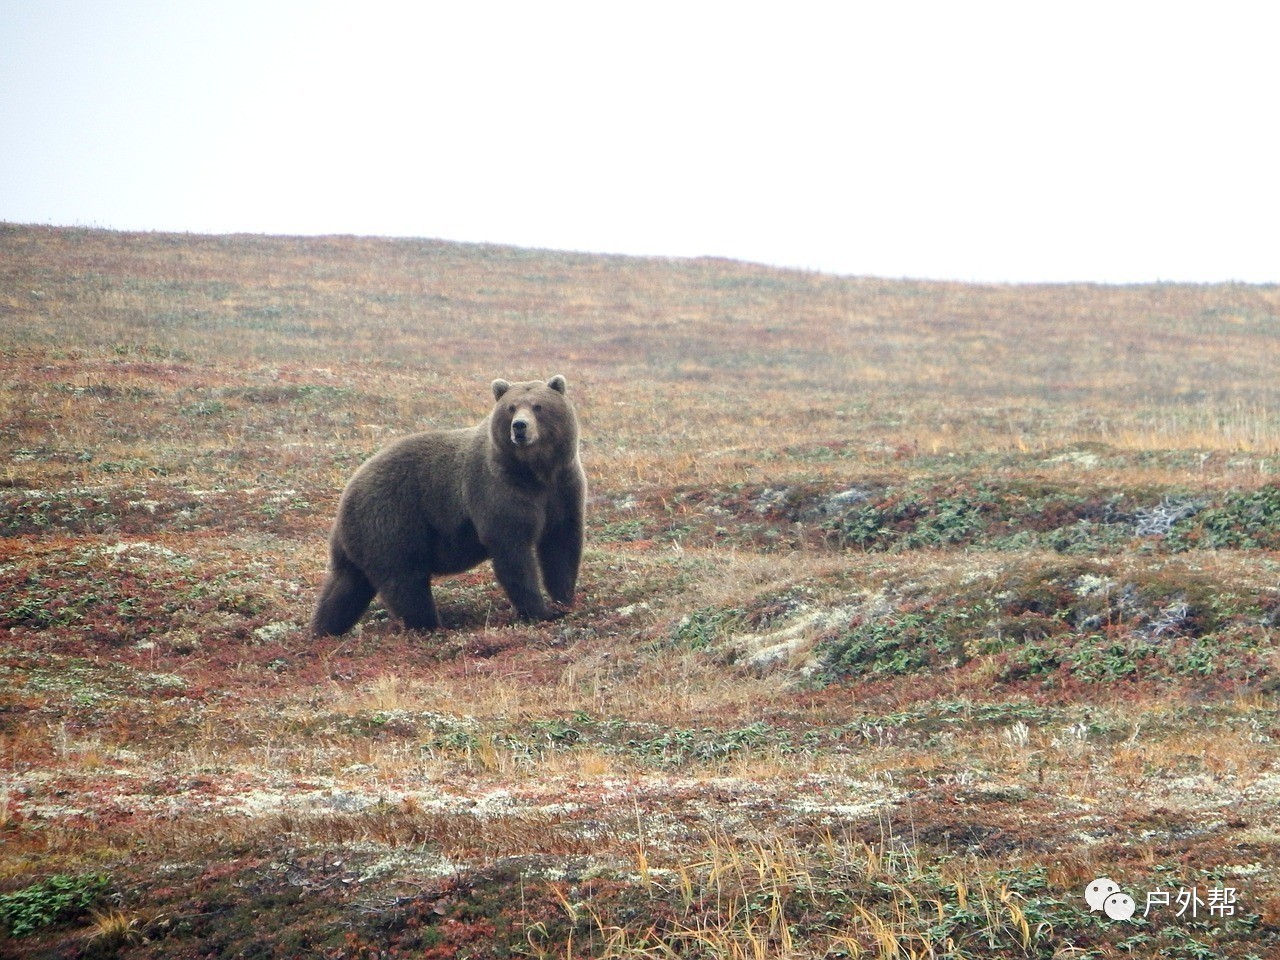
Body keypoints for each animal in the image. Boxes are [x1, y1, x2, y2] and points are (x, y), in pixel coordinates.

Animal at [312, 378, 586, 640]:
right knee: (406, 581)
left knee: (345, 587)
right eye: (511, 407)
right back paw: (430, 625)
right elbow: (513, 550)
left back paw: (324, 629)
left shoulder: (562, 488)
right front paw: (540, 611)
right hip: (391, 521)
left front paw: (563, 599)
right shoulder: (498, 489)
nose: (519, 426)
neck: (535, 471)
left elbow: (561, 543)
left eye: (538, 406)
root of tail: (348, 491)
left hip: (358, 539)